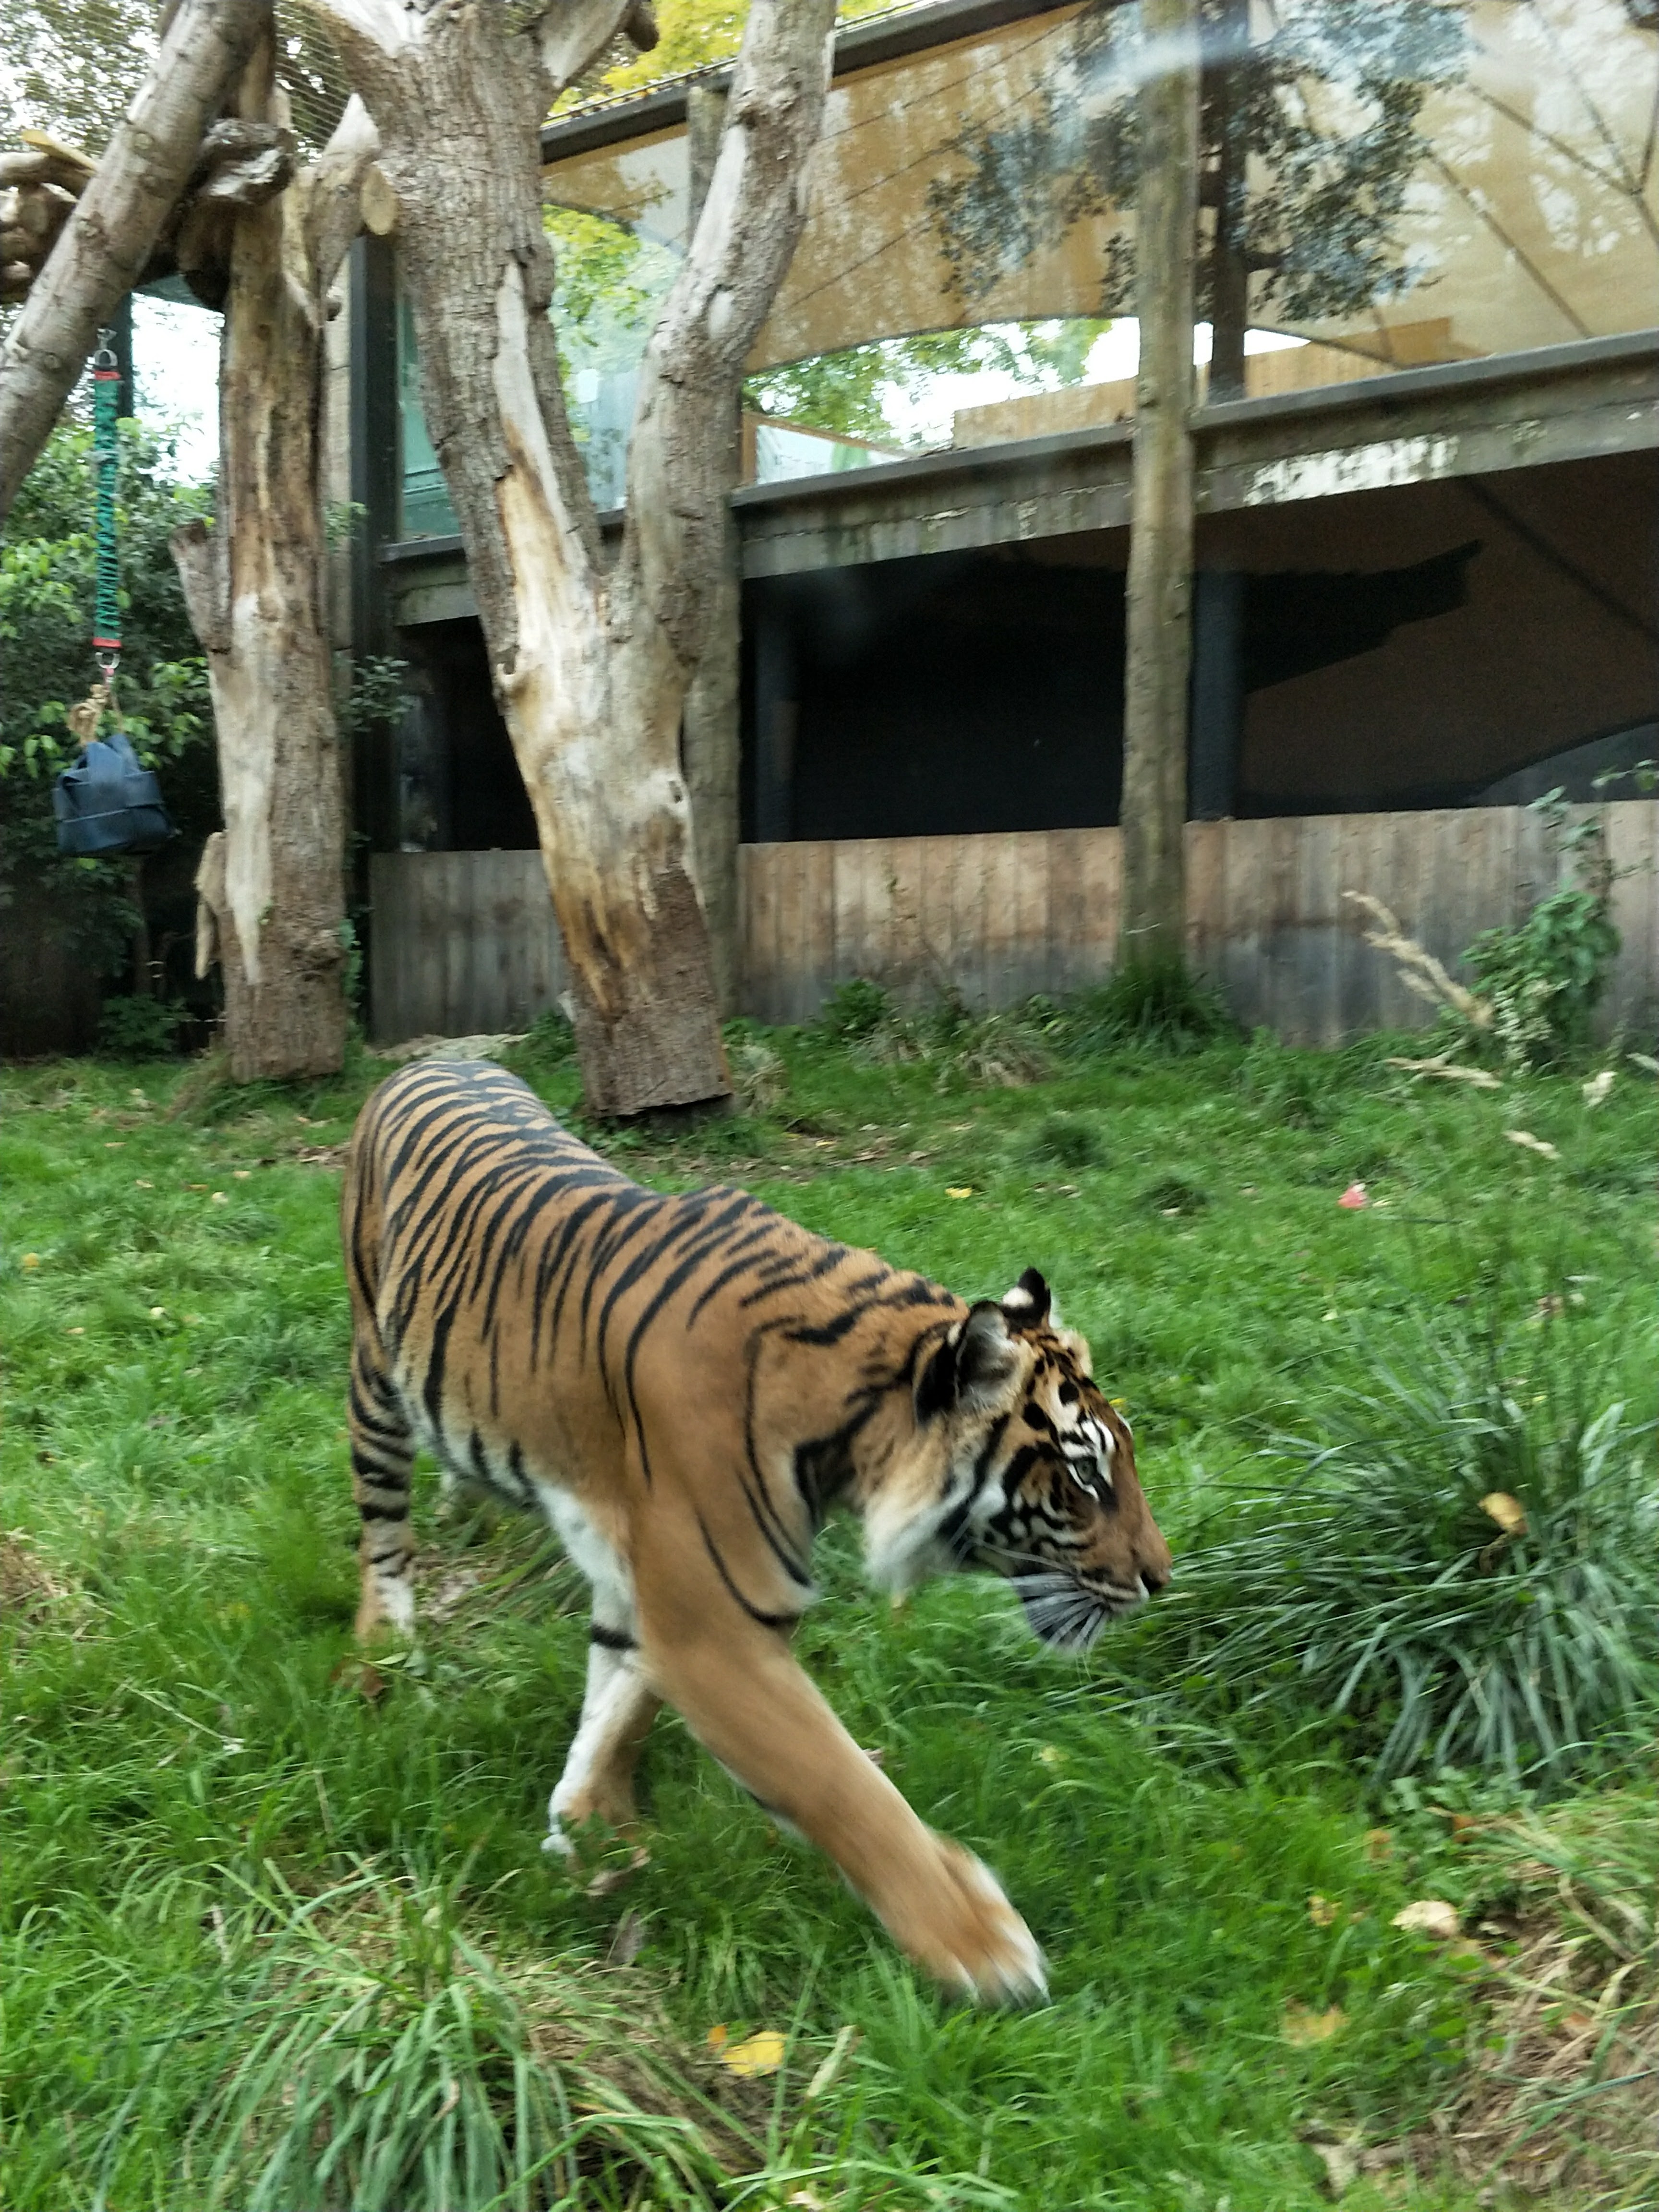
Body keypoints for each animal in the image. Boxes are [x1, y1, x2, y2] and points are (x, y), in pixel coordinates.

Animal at [340, 1053, 1168, 2008]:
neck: (852, 1420)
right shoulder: (717, 1625)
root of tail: (436, 1055)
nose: (1162, 1577)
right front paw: (979, 1943)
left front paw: (586, 1821)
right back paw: (384, 1650)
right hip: (375, 1376)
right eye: (1084, 1475)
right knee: (381, 1530)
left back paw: (461, 1501)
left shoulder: (657, 1585)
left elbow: (620, 1702)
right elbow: (838, 1782)